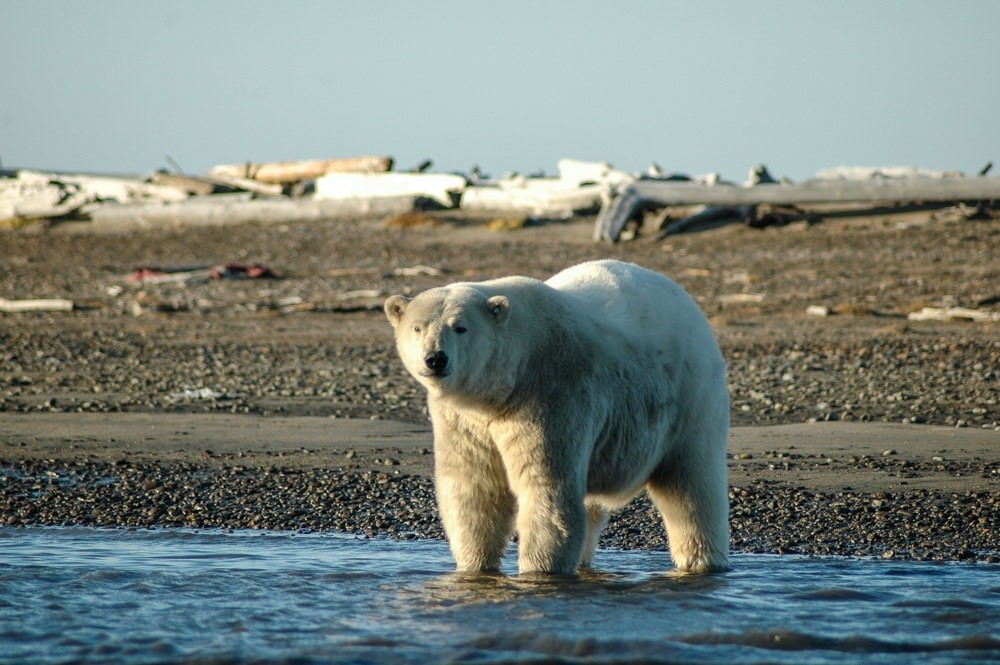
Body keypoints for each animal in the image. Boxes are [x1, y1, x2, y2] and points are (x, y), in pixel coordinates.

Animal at [382, 256, 728, 572]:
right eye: (417, 327)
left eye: (460, 328)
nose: (435, 359)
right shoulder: (465, 420)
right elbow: (474, 489)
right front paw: (474, 566)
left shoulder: (550, 396)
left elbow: (547, 491)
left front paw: (539, 571)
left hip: (690, 397)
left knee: (691, 489)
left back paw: (701, 560)